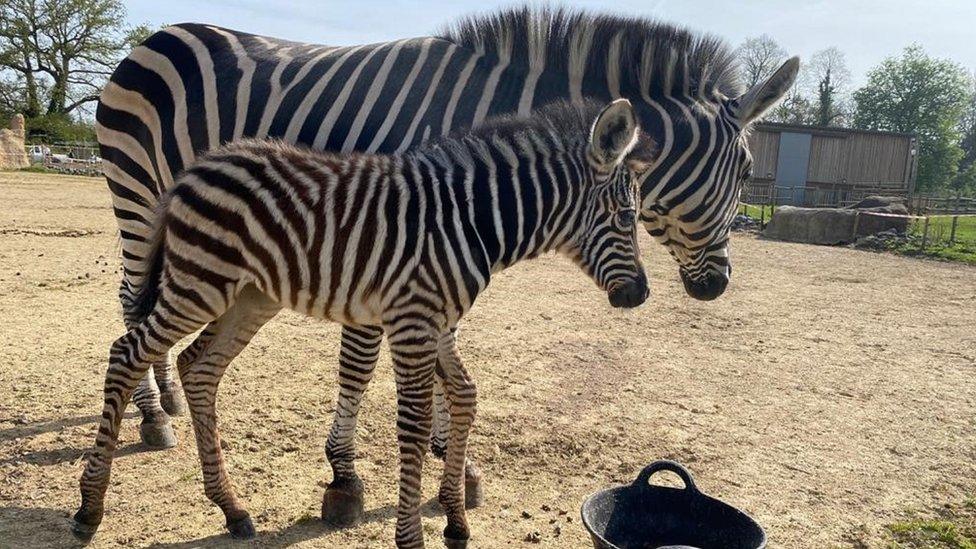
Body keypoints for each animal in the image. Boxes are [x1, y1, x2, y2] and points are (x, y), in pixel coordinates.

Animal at [74, 99, 648, 548]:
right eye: (627, 217)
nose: (641, 295)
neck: (473, 220)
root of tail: (194, 169)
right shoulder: (414, 319)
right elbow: (415, 422)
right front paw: (411, 536)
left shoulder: (437, 322)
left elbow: (465, 396)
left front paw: (456, 520)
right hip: (199, 284)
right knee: (126, 354)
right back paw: (89, 509)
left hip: (249, 296)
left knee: (199, 366)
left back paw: (232, 509)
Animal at [93, 3, 792, 512]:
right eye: (748, 171)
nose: (718, 286)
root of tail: (159, 33)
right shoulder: (383, 235)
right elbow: (362, 365)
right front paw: (346, 478)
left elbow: (439, 358)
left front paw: (450, 461)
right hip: (138, 189)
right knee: (132, 300)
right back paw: (151, 417)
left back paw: (164, 399)